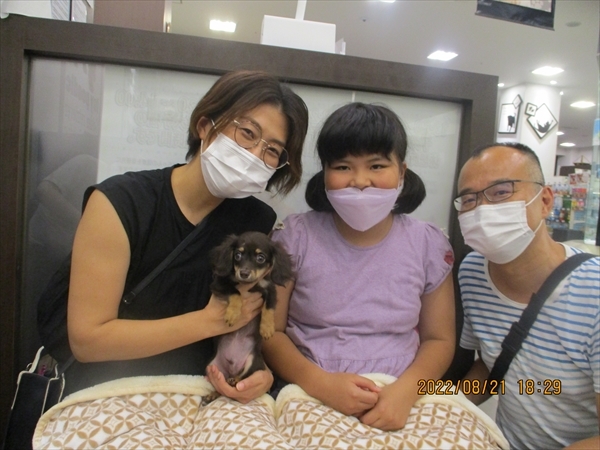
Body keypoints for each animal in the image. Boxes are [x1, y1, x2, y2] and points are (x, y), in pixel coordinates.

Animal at [206, 231, 293, 392]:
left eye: (261, 258)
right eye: (238, 255)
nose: (244, 273)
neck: (250, 284)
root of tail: (231, 370)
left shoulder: (270, 289)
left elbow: (269, 308)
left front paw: (266, 329)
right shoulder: (219, 284)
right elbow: (235, 292)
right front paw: (233, 314)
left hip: (252, 362)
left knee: (241, 377)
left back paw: (234, 380)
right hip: (212, 366)